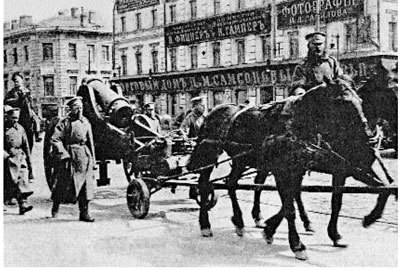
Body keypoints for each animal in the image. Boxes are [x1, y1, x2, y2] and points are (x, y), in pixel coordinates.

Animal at [188, 75, 394, 260]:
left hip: (243, 159)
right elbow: (290, 208)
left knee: (232, 183)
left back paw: (240, 221)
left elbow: (379, 189)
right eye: (342, 102)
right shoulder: (285, 171)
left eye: (361, 101)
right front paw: (296, 245)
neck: (297, 123)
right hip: (209, 154)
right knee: (205, 184)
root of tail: (213, 111)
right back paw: (205, 225)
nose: (368, 137)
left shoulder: (348, 169)